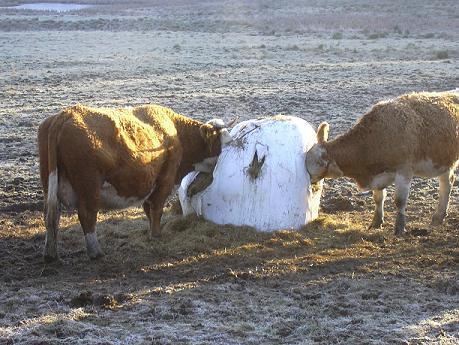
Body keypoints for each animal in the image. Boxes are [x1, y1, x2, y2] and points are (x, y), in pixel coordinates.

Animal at [38, 103, 234, 260]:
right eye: (224, 142)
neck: (177, 133)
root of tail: (65, 115)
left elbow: (148, 209)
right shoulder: (165, 180)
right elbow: (156, 209)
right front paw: (156, 235)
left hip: (50, 184)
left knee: (52, 216)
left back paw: (50, 253)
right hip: (89, 185)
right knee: (87, 215)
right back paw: (95, 252)